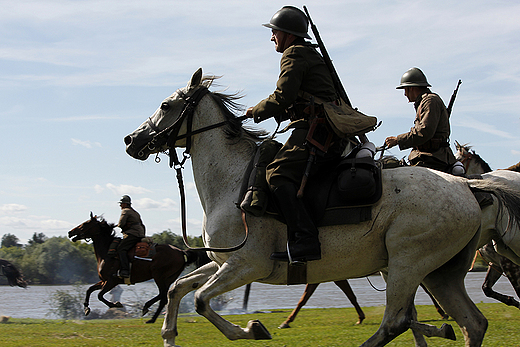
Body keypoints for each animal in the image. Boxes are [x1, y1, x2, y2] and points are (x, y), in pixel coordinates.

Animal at [68, 213, 210, 324]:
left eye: (85, 224)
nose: (70, 232)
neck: (107, 252)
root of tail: (181, 251)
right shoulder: (104, 281)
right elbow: (89, 290)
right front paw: (86, 309)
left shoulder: (111, 281)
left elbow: (99, 296)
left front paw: (116, 304)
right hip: (168, 278)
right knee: (163, 296)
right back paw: (149, 313)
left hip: (158, 276)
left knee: (163, 296)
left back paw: (149, 314)